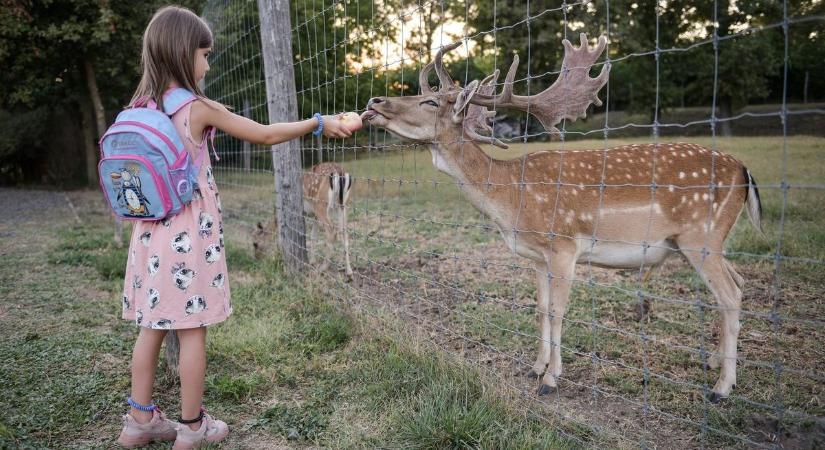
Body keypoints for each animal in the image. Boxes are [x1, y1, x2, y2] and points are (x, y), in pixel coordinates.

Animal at [364, 33, 764, 402]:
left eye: (430, 101)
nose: (373, 102)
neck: (511, 198)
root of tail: (745, 171)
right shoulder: (537, 256)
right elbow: (541, 309)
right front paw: (535, 367)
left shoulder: (564, 247)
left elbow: (558, 311)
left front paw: (551, 380)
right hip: (707, 241)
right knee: (739, 281)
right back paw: (713, 361)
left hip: (701, 236)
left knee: (730, 294)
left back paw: (722, 387)